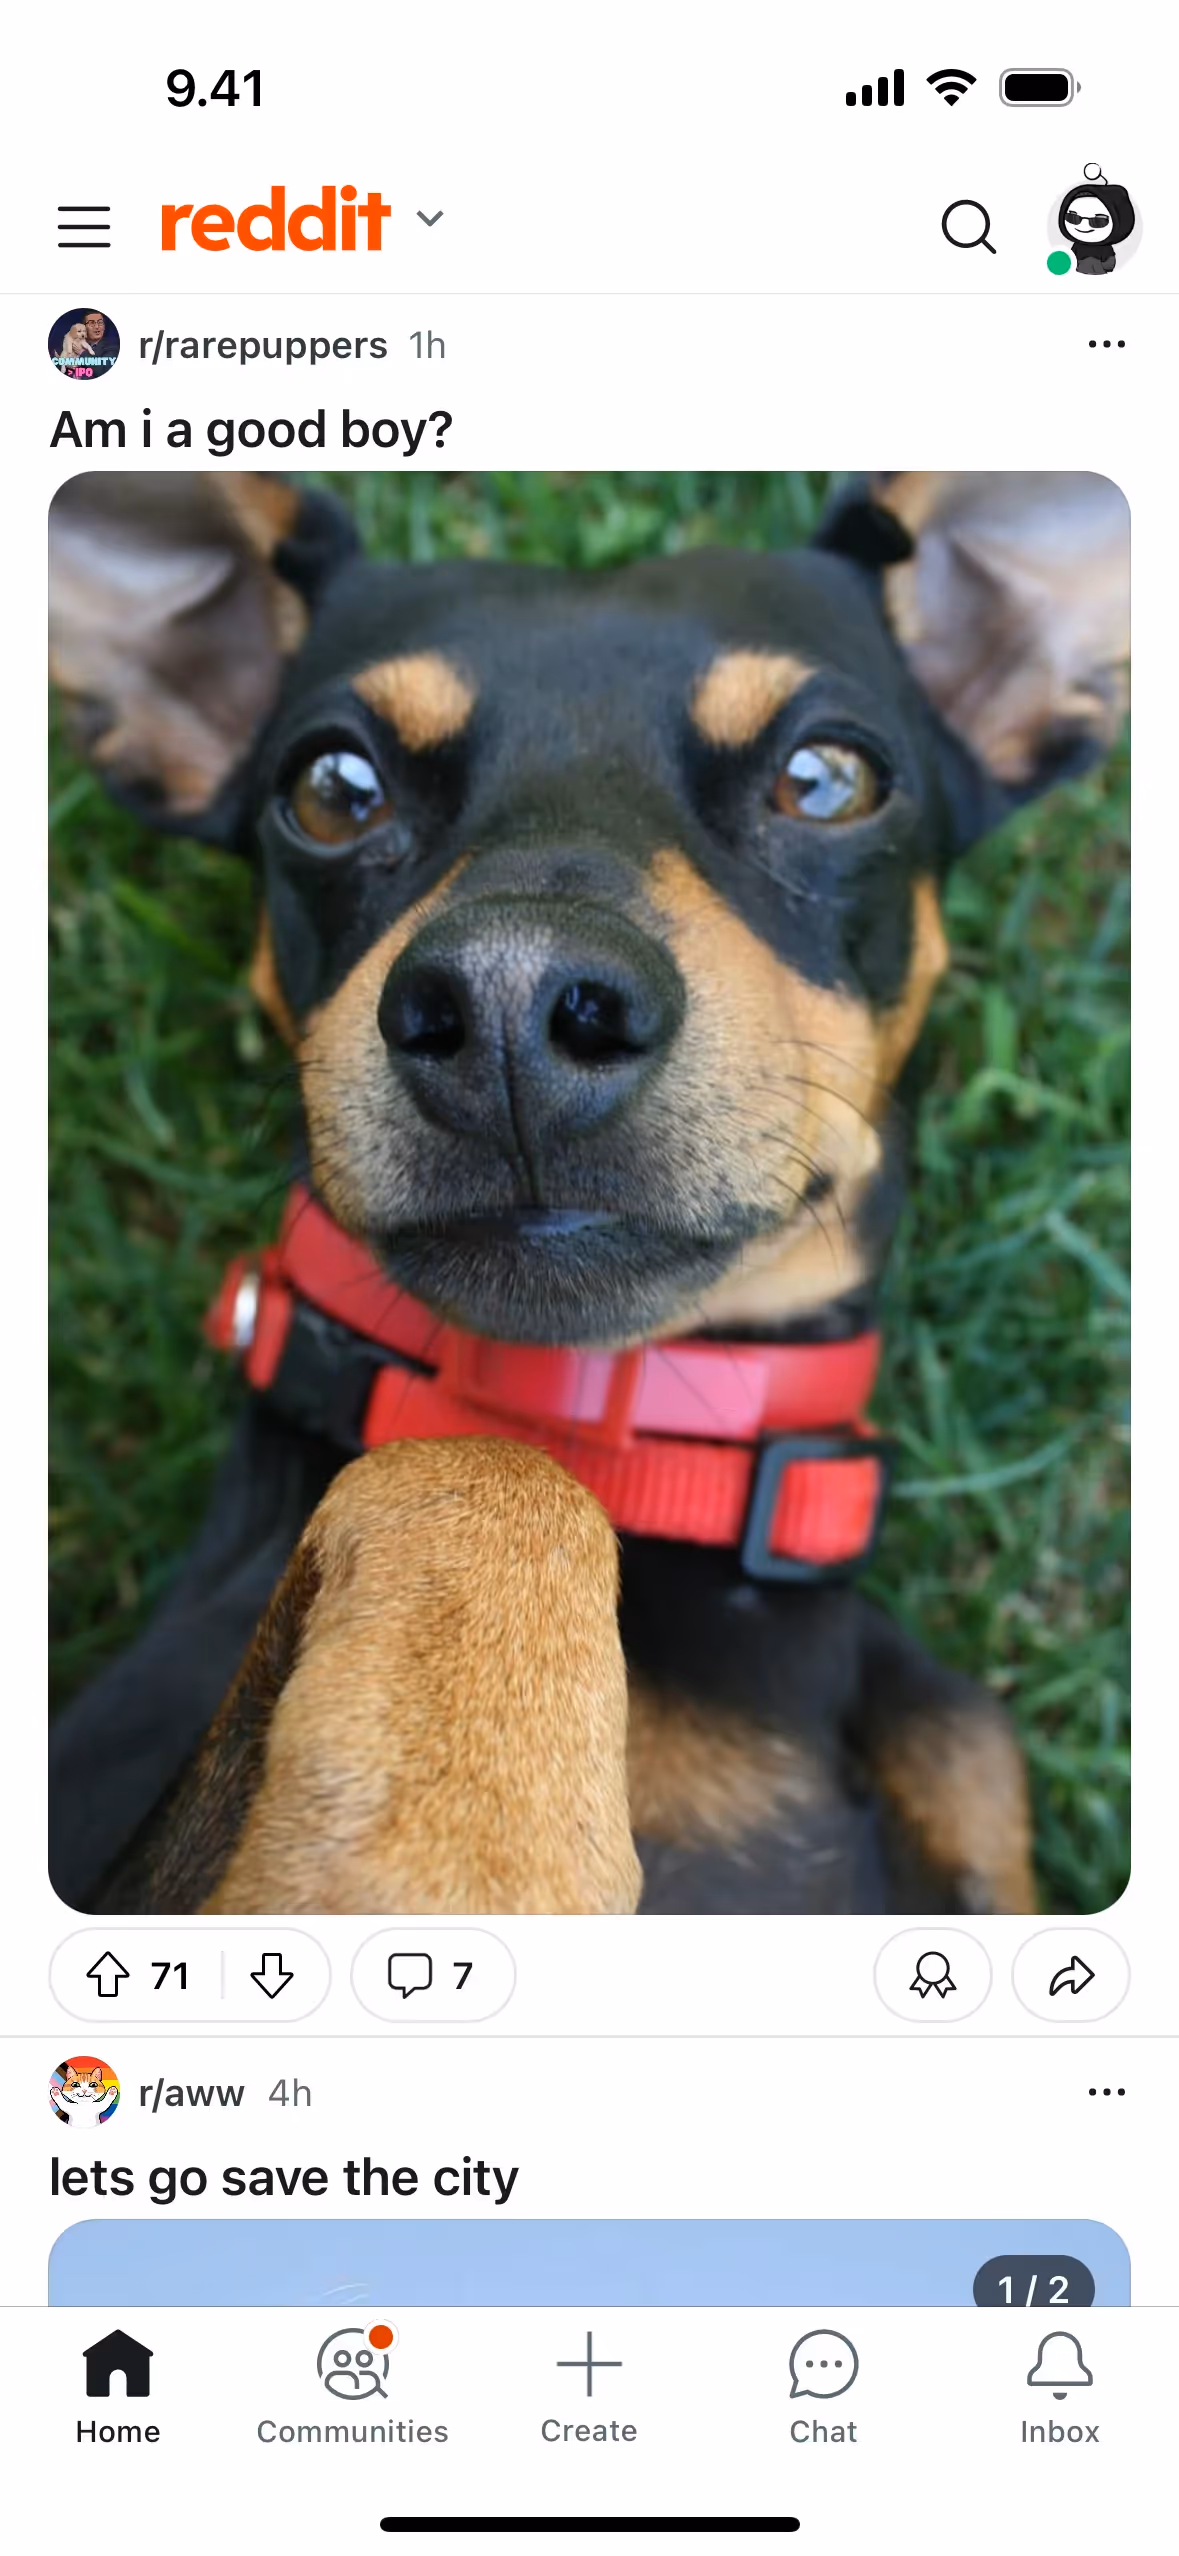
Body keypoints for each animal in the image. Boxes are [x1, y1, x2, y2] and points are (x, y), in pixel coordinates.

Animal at [48, 469, 1129, 1916]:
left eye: (826, 776)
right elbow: (479, 1473)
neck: (646, 1443)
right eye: (331, 787)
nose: (510, 1002)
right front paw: (457, 1856)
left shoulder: (967, 1786)